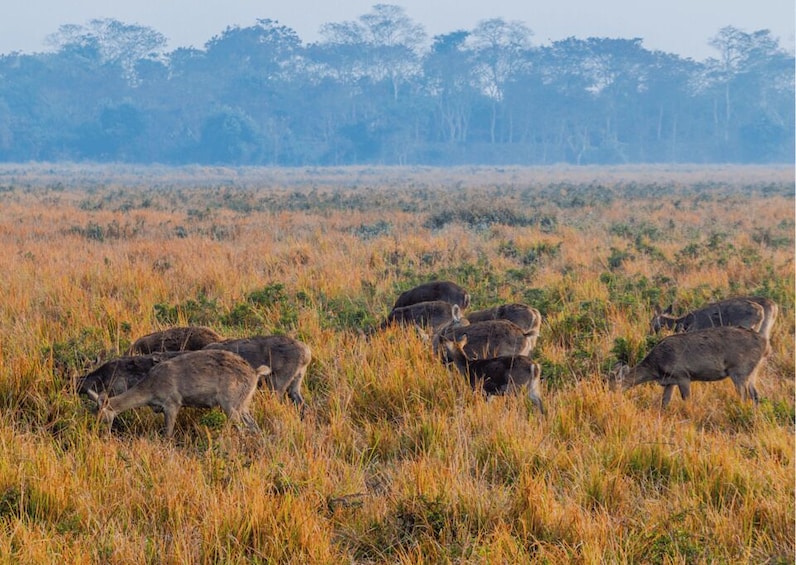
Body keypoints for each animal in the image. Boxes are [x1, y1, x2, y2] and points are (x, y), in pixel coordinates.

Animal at [86, 348, 268, 436]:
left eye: (101, 417)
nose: (98, 434)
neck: (150, 387)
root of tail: (255, 372)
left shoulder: (172, 403)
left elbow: (168, 433)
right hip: (243, 404)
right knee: (254, 426)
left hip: (231, 405)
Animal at [608, 326, 772, 406]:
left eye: (615, 384)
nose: (610, 397)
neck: (657, 366)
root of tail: (766, 345)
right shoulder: (670, 381)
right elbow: (664, 402)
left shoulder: (683, 375)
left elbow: (686, 399)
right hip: (752, 371)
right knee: (755, 395)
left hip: (739, 370)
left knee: (744, 395)